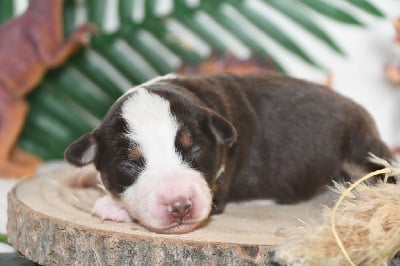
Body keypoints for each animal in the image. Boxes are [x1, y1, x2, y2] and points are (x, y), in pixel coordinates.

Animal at [65, 71, 394, 234]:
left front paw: (111, 206)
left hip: (359, 146)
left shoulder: (217, 190)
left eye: (195, 148)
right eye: (130, 163)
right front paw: (86, 177)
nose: (180, 206)